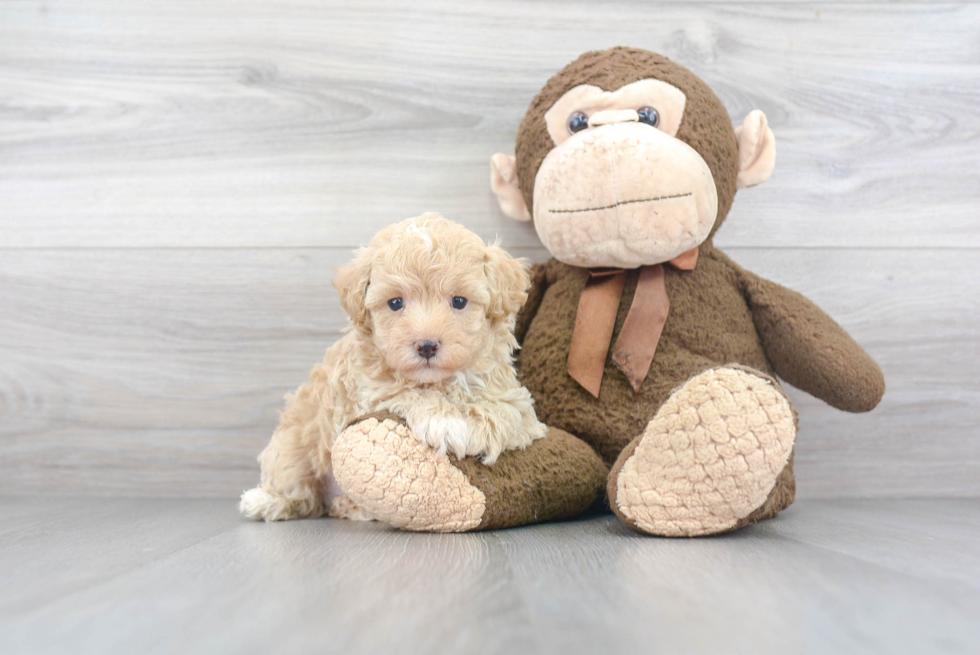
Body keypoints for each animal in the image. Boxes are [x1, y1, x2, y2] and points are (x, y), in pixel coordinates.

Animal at [237, 215, 544, 524]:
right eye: (395, 303)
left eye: (459, 301)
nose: (427, 346)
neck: (440, 380)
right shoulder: (367, 392)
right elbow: (408, 391)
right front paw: (444, 420)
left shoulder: (516, 402)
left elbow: (505, 412)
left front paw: (472, 427)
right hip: (296, 443)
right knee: (296, 484)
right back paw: (266, 500)